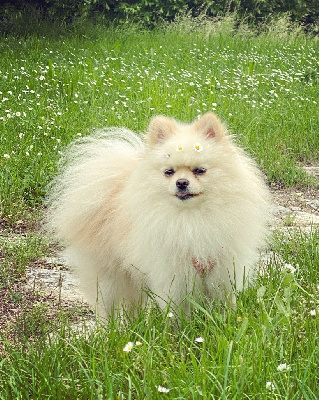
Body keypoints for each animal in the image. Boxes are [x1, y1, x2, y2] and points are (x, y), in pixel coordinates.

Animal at [46, 112, 272, 316]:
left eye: (199, 170)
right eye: (169, 172)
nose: (181, 182)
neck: (192, 218)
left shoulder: (223, 271)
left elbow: (224, 305)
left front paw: (227, 322)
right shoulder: (173, 275)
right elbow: (177, 311)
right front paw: (179, 330)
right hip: (108, 276)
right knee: (106, 307)